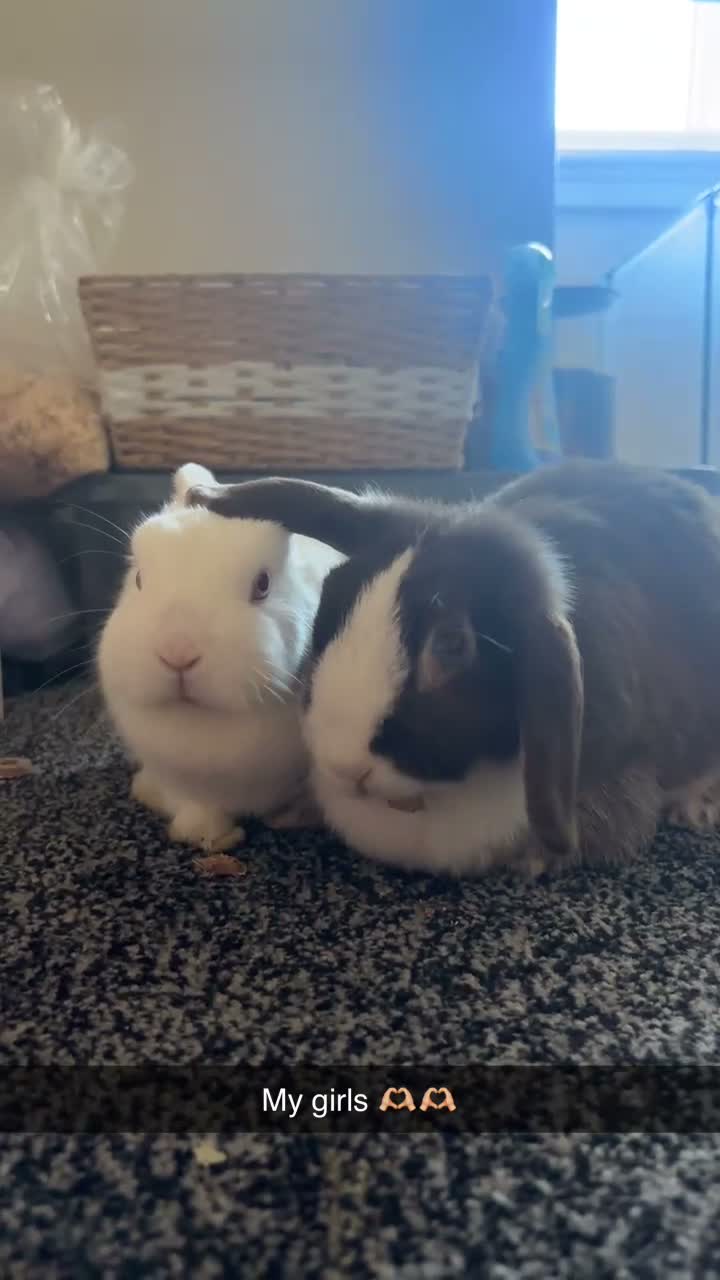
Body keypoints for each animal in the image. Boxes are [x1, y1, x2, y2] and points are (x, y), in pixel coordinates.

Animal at [97, 463, 343, 853]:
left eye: (263, 585)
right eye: (138, 579)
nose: (177, 652)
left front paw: (293, 818)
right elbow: (197, 804)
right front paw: (206, 835)